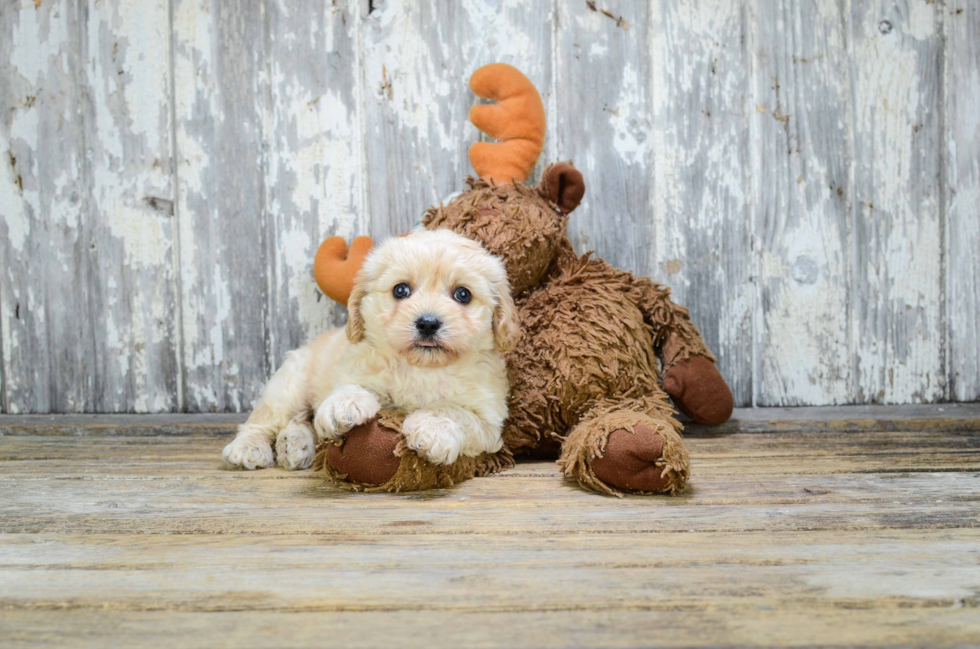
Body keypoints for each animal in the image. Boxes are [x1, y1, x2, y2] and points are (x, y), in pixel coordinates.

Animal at [222, 229, 520, 470]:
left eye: (463, 294)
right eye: (400, 290)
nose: (428, 323)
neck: (421, 368)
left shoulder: (488, 421)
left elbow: (453, 412)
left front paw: (430, 430)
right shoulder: (354, 368)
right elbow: (352, 387)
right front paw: (343, 405)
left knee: (297, 422)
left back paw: (293, 445)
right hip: (288, 387)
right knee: (265, 420)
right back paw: (250, 448)